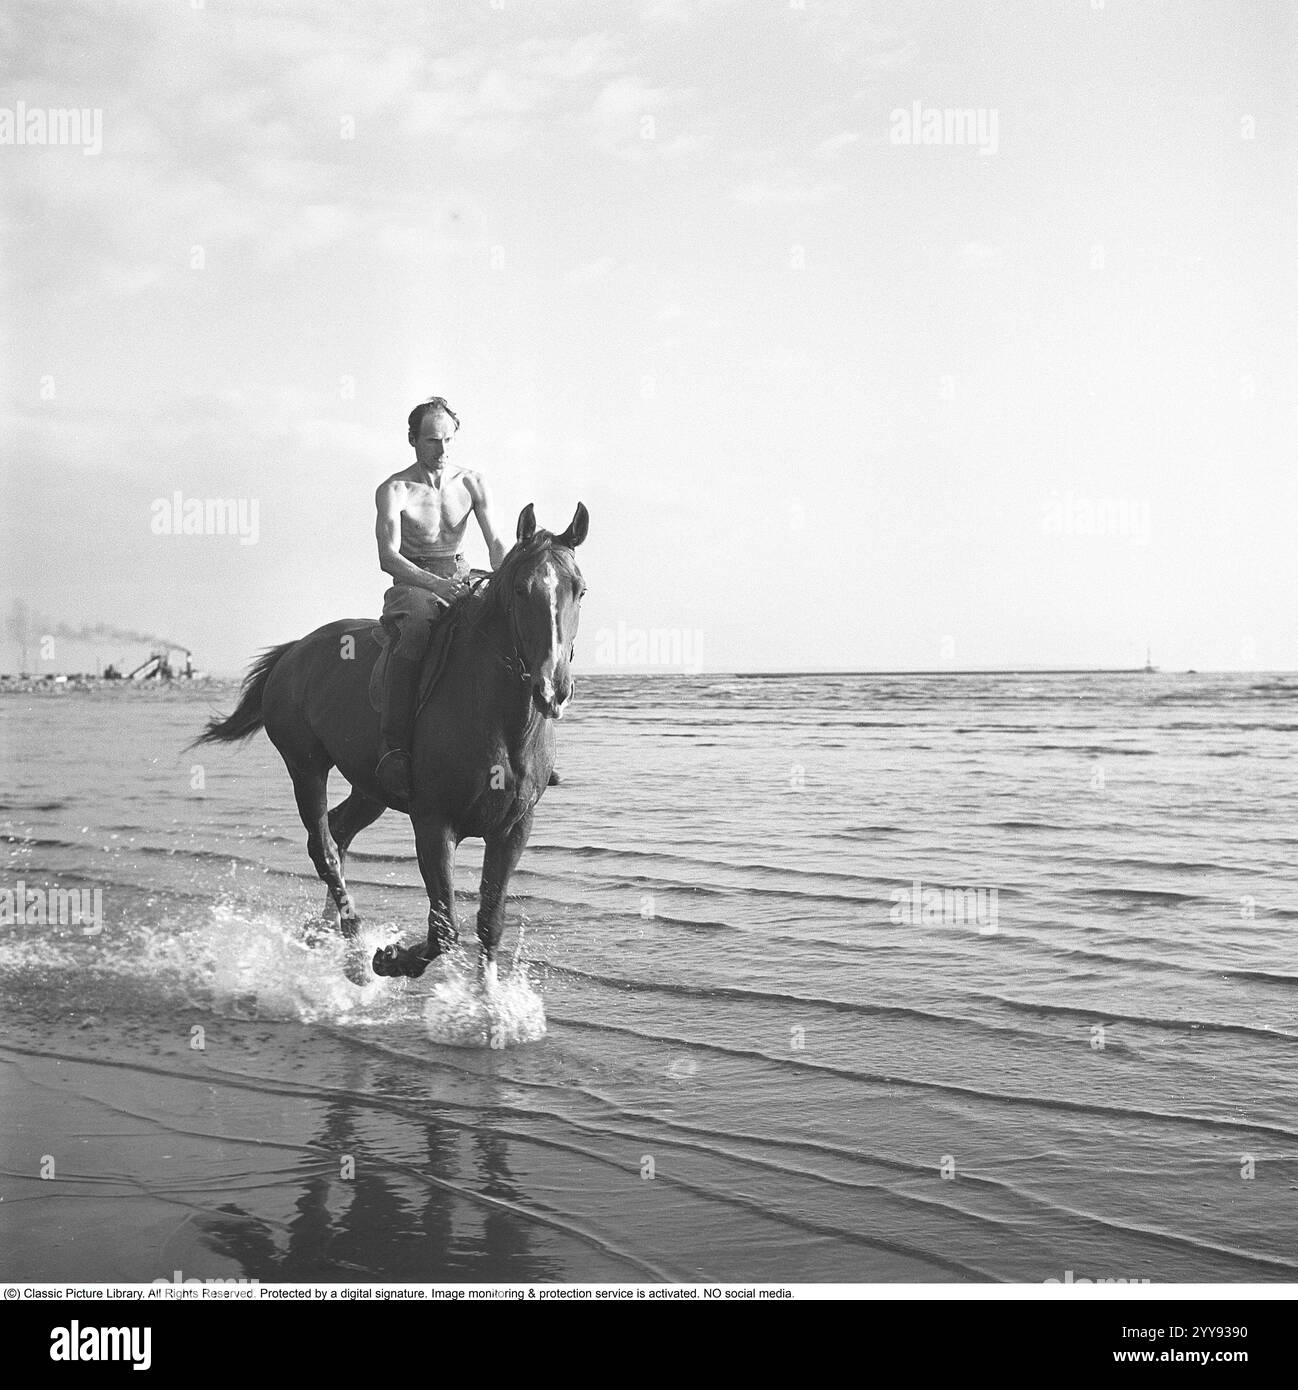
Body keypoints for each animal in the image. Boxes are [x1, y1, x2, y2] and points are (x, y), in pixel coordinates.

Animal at [198, 505, 589, 984]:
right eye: (521, 589)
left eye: (580, 590)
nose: (552, 689)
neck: (500, 721)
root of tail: (295, 651)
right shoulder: (434, 824)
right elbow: (444, 928)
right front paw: (390, 959)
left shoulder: (513, 828)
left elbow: (490, 924)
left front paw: (488, 1001)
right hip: (305, 768)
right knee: (324, 847)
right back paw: (354, 951)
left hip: (371, 789)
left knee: (338, 832)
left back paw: (326, 936)